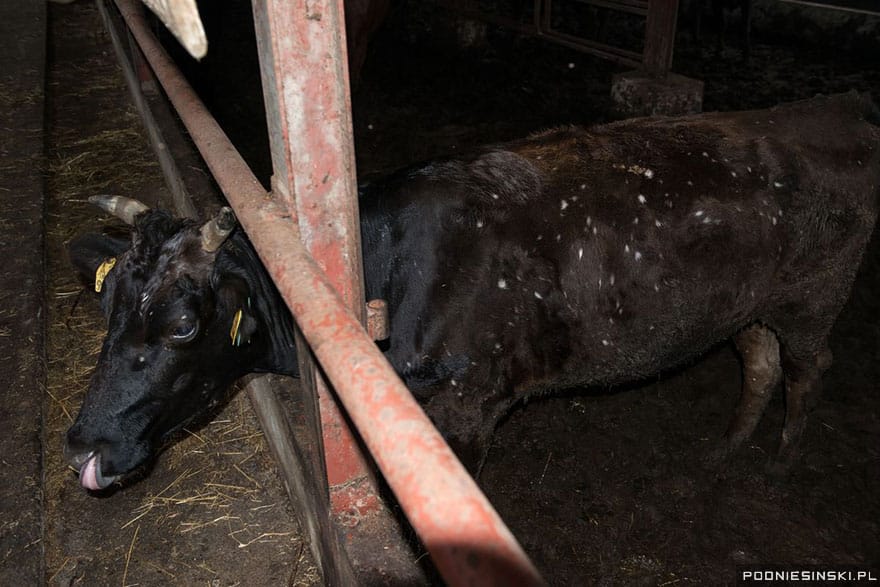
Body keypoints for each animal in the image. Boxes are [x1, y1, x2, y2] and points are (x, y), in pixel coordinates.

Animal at [67, 93, 880, 492]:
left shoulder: (463, 408)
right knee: (760, 361)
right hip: (747, 305)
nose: (85, 441)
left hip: (815, 297)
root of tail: (830, 112)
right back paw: (727, 449)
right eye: (107, 306)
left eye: (181, 325)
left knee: (809, 368)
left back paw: (778, 464)